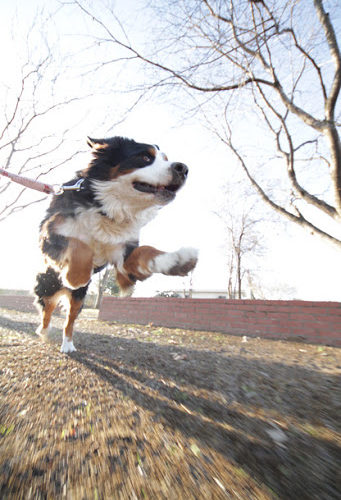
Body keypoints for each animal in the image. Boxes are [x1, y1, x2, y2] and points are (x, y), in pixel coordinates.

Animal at [33, 136, 198, 352]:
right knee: (47, 311)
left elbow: (145, 251)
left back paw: (68, 344)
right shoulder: (50, 232)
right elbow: (80, 245)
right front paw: (76, 275)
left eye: (165, 159)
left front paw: (176, 260)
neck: (109, 210)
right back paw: (44, 332)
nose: (183, 168)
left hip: (79, 298)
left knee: (70, 319)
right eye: (145, 157)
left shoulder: (123, 254)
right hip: (47, 285)